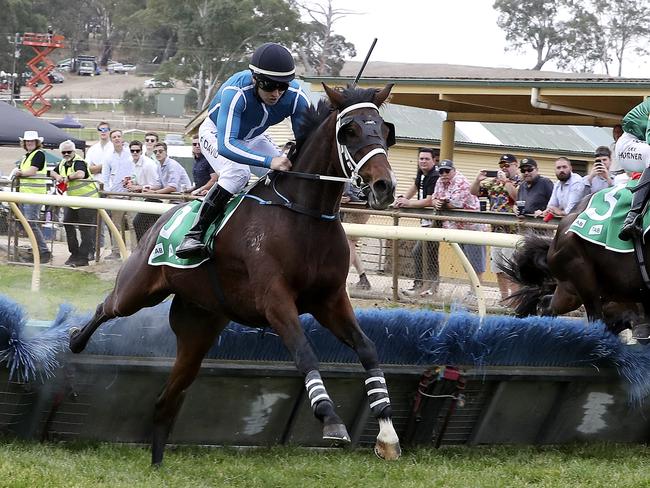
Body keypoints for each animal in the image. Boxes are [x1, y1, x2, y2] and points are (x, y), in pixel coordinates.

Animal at [67, 84, 400, 466]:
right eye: (351, 131)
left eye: (385, 130)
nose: (384, 187)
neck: (304, 216)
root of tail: (163, 218)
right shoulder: (275, 301)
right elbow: (305, 353)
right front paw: (330, 418)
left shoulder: (329, 300)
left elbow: (368, 349)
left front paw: (387, 431)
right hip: (138, 290)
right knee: (107, 308)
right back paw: (75, 340)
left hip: (199, 327)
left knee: (167, 397)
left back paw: (157, 459)